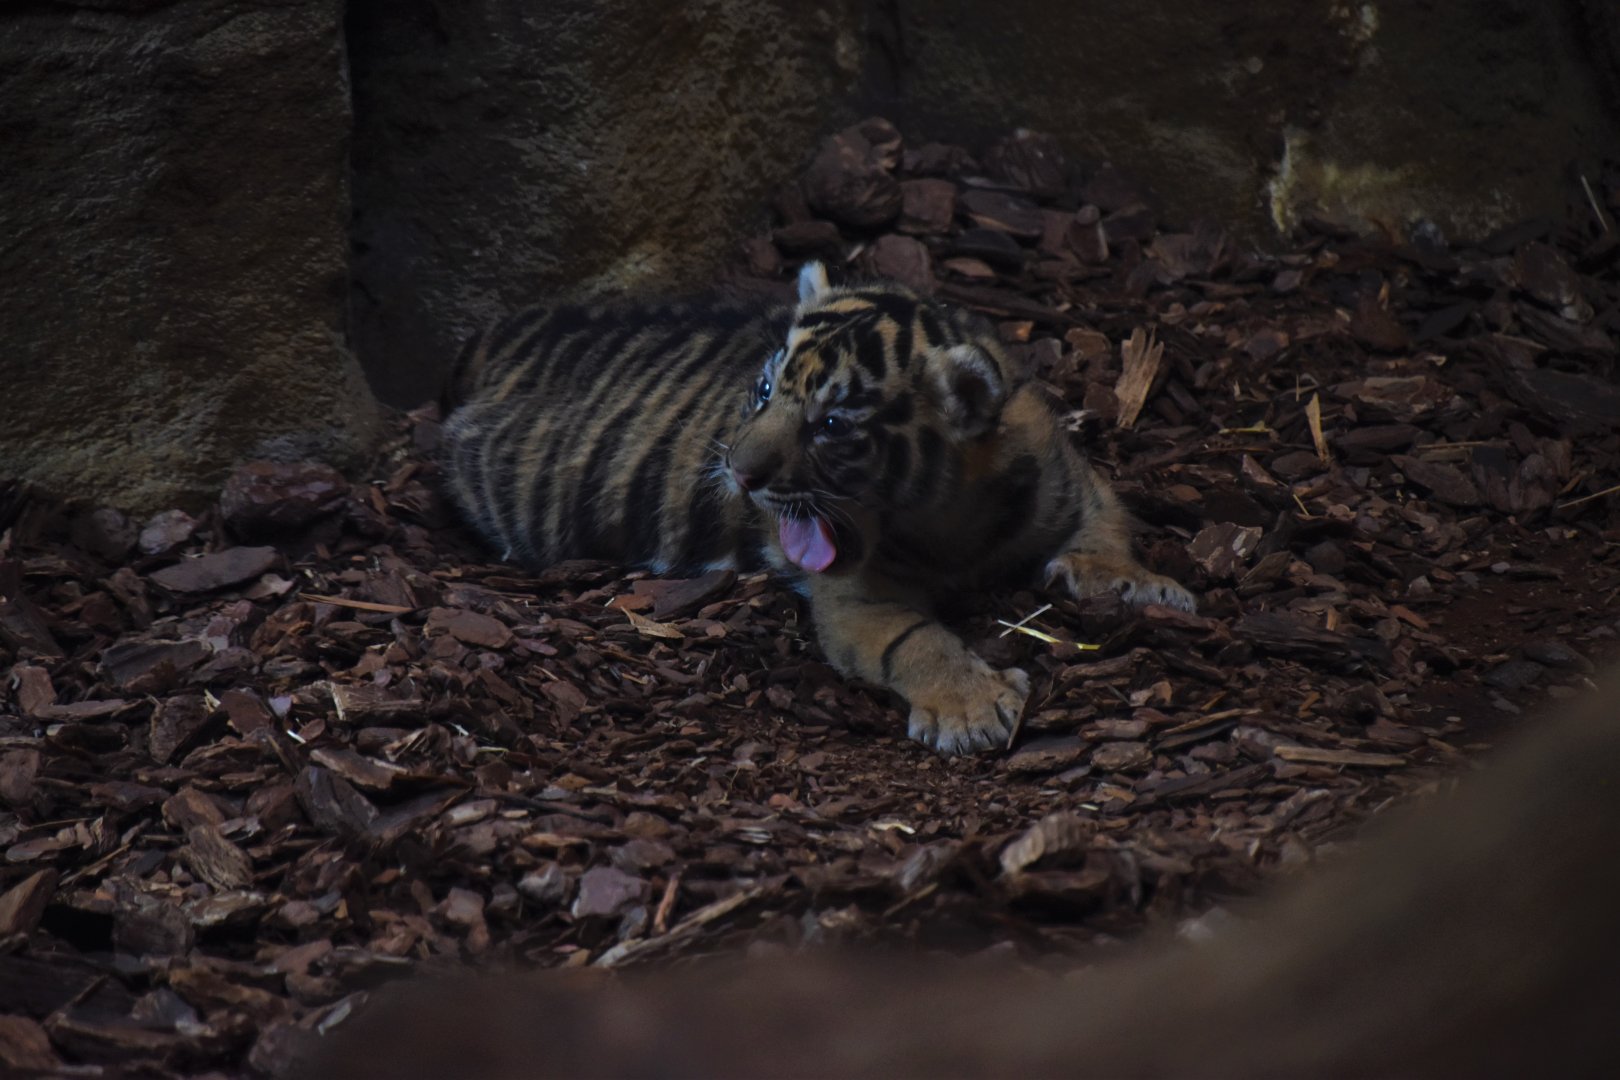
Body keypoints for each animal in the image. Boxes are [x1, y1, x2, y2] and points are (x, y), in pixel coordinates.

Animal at [440, 262, 1195, 754]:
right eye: (765, 389)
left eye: (831, 425)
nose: (738, 473)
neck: (954, 512)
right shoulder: (857, 595)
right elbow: (917, 640)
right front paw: (972, 707)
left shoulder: (1071, 480)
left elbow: (1109, 524)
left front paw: (1140, 583)